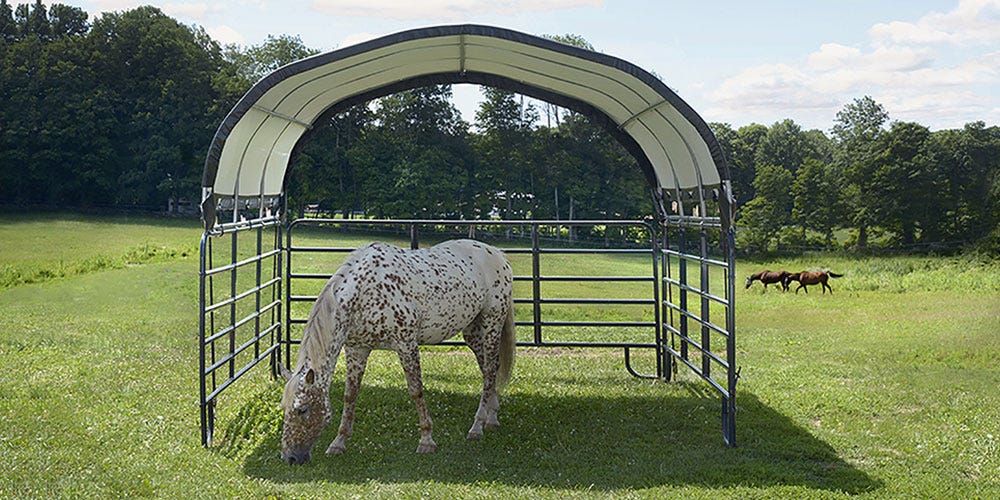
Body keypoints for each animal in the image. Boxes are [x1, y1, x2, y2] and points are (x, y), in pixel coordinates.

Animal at [280, 240, 516, 462]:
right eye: (284, 408)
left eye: (302, 409)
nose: (290, 457)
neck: (363, 293)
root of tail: (498, 255)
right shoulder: (357, 349)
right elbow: (350, 395)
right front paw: (338, 442)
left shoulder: (406, 344)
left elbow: (416, 390)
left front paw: (426, 440)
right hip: (472, 331)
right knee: (488, 370)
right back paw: (491, 417)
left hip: (492, 324)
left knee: (490, 370)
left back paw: (477, 426)